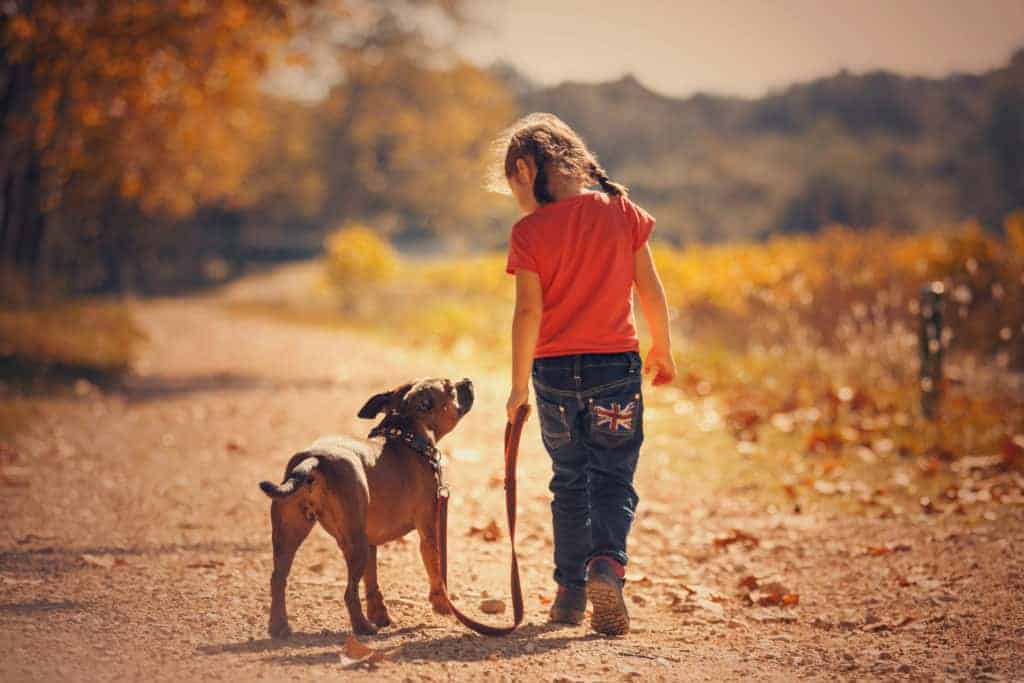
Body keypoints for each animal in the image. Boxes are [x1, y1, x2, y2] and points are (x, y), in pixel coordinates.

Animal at [260, 376, 475, 638]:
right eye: (451, 389)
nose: (467, 380)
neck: (406, 434)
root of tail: (314, 460)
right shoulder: (429, 532)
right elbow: (436, 570)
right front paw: (442, 605)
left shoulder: (371, 542)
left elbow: (371, 581)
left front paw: (380, 614)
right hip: (354, 543)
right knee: (348, 592)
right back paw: (362, 627)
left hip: (289, 536)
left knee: (278, 579)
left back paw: (279, 626)